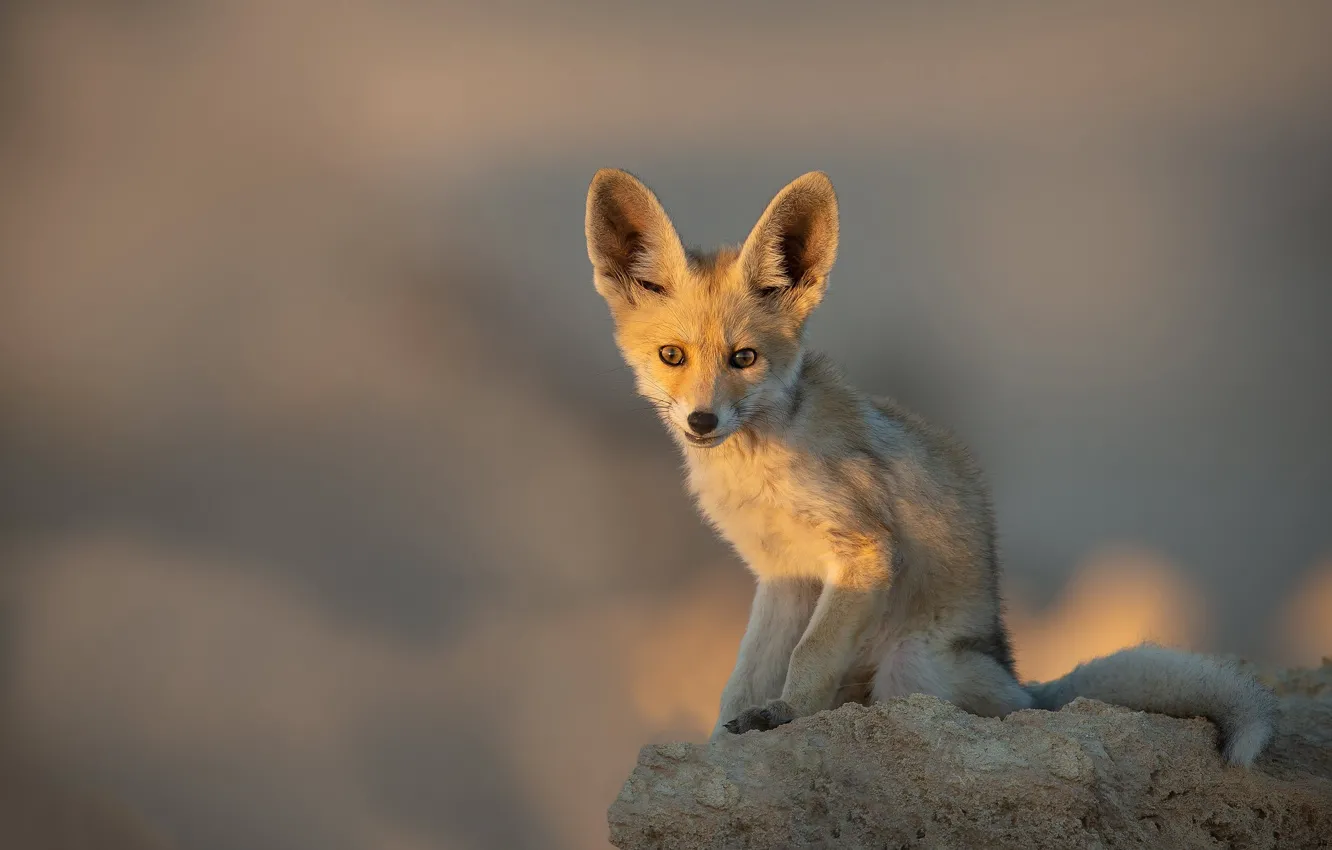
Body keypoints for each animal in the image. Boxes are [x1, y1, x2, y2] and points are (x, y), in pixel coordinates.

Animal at [584, 167, 1279, 767]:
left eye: (744, 358)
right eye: (672, 355)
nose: (702, 422)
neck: (760, 469)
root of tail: (1023, 682)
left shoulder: (865, 549)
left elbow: (808, 658)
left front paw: (786, 717)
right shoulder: (781, 577)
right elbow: (743, 680)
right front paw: (722, 743)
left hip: (911, 666)